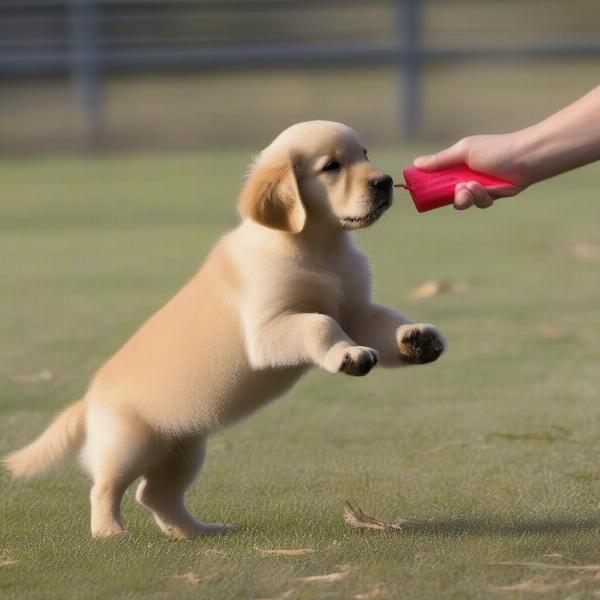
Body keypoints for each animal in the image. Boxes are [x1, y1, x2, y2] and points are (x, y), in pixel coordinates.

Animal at [4, 119, 446, 536]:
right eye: (332, 167)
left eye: (364, 153)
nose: (384, 181)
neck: (319, 246)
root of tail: (88, 399)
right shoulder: (267, 329)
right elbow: (320, 325)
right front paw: (349, 354)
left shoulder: (355, 311)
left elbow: (385, 321)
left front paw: (417, 338)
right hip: (129, 443)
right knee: (105, 488)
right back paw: (111, 532)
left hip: (184, 448)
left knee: (155, 495)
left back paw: (197, 531)